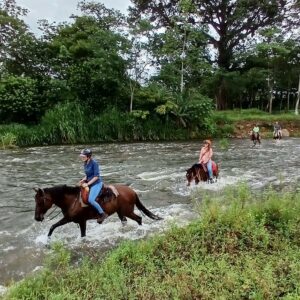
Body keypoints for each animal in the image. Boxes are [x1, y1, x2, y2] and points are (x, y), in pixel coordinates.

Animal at [33, 184, 162, 238]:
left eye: (40, 201)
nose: (37, 218)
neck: (72, 201)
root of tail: (133, 191)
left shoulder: (76, 220)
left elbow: (53, 226)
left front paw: (47, 240)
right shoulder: (75, 220)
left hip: (127, 211)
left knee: (139, 218)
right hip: (120, 212)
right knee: (125, 221)